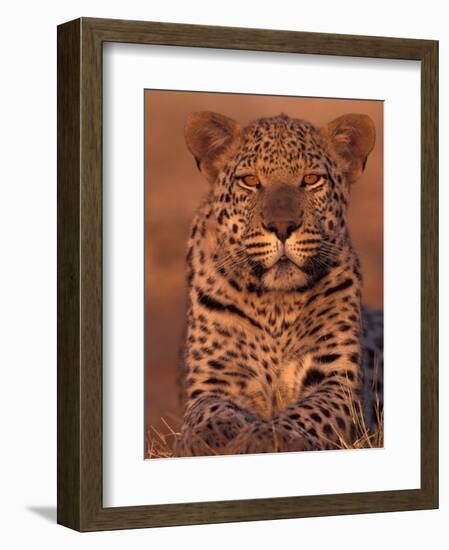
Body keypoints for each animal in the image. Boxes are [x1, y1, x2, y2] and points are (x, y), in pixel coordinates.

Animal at [173, 109, 384, 458]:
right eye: (250, 181)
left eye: (311, 180)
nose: (282, 227)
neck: (274, 304)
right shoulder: (215, 378)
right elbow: (208, 409)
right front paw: (208, 436)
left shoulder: (337, 381)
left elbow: (309, 412)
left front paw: (267, 435)